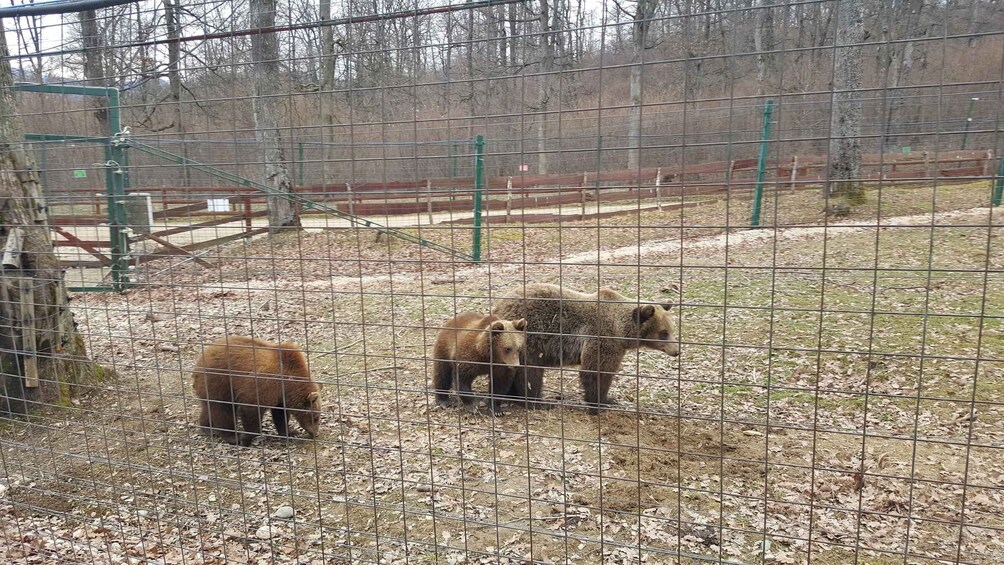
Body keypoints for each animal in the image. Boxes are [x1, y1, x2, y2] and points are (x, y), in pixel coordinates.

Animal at [191, 335, 321, 447]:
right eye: (315, 417)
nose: (315, 433)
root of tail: (201, 358)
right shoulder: (265, 384)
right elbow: (251, 410)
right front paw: (245, 439)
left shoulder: (279, 396)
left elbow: (280, 415)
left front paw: (290, 432)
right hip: (219, 380)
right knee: (222, 409)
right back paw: (232, 436)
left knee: (210, 406)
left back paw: (208, 428)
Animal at [487, 285, 678, 413]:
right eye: (663, 333)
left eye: (671, 329)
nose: (676, 351)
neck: (621, 330)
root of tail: (497, 307)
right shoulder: (602, 338)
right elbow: (596, 372)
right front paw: (600, 402)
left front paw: (609, 399)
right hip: (527, 341)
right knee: (530, 374)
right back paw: (538, 402)